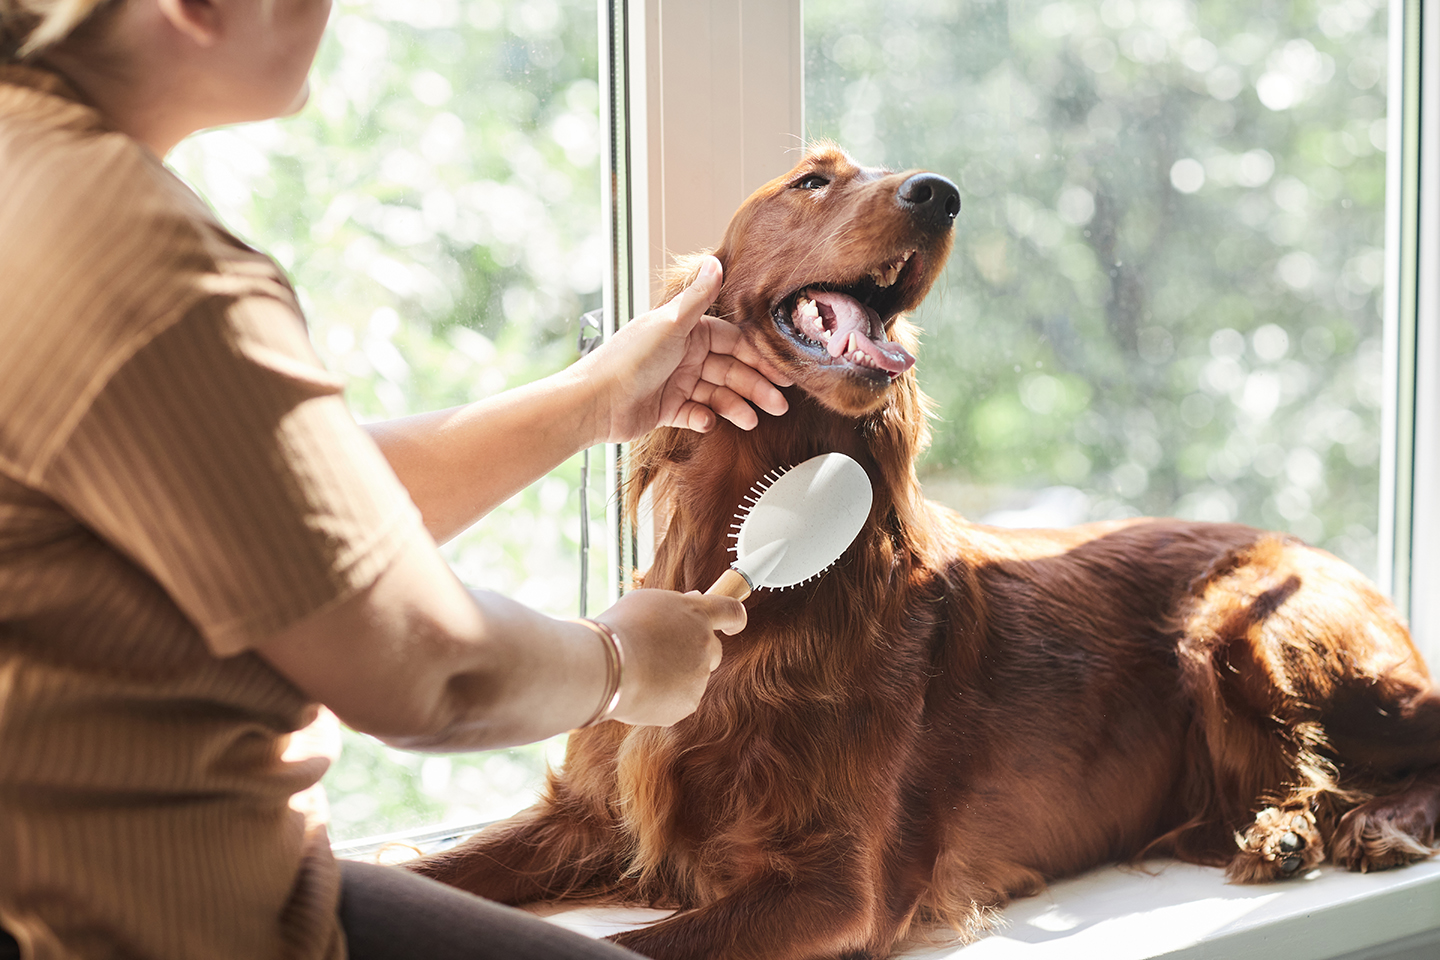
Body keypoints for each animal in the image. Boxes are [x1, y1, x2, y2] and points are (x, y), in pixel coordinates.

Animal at [408, 142, 1440, 960]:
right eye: (812, 179)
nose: (940, 193)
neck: (765, 567)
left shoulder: (837, 889)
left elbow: (637, 943)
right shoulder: (589, 814)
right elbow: (438, 873)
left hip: (1251, 637)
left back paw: (1377, 826)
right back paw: (1287, 833)